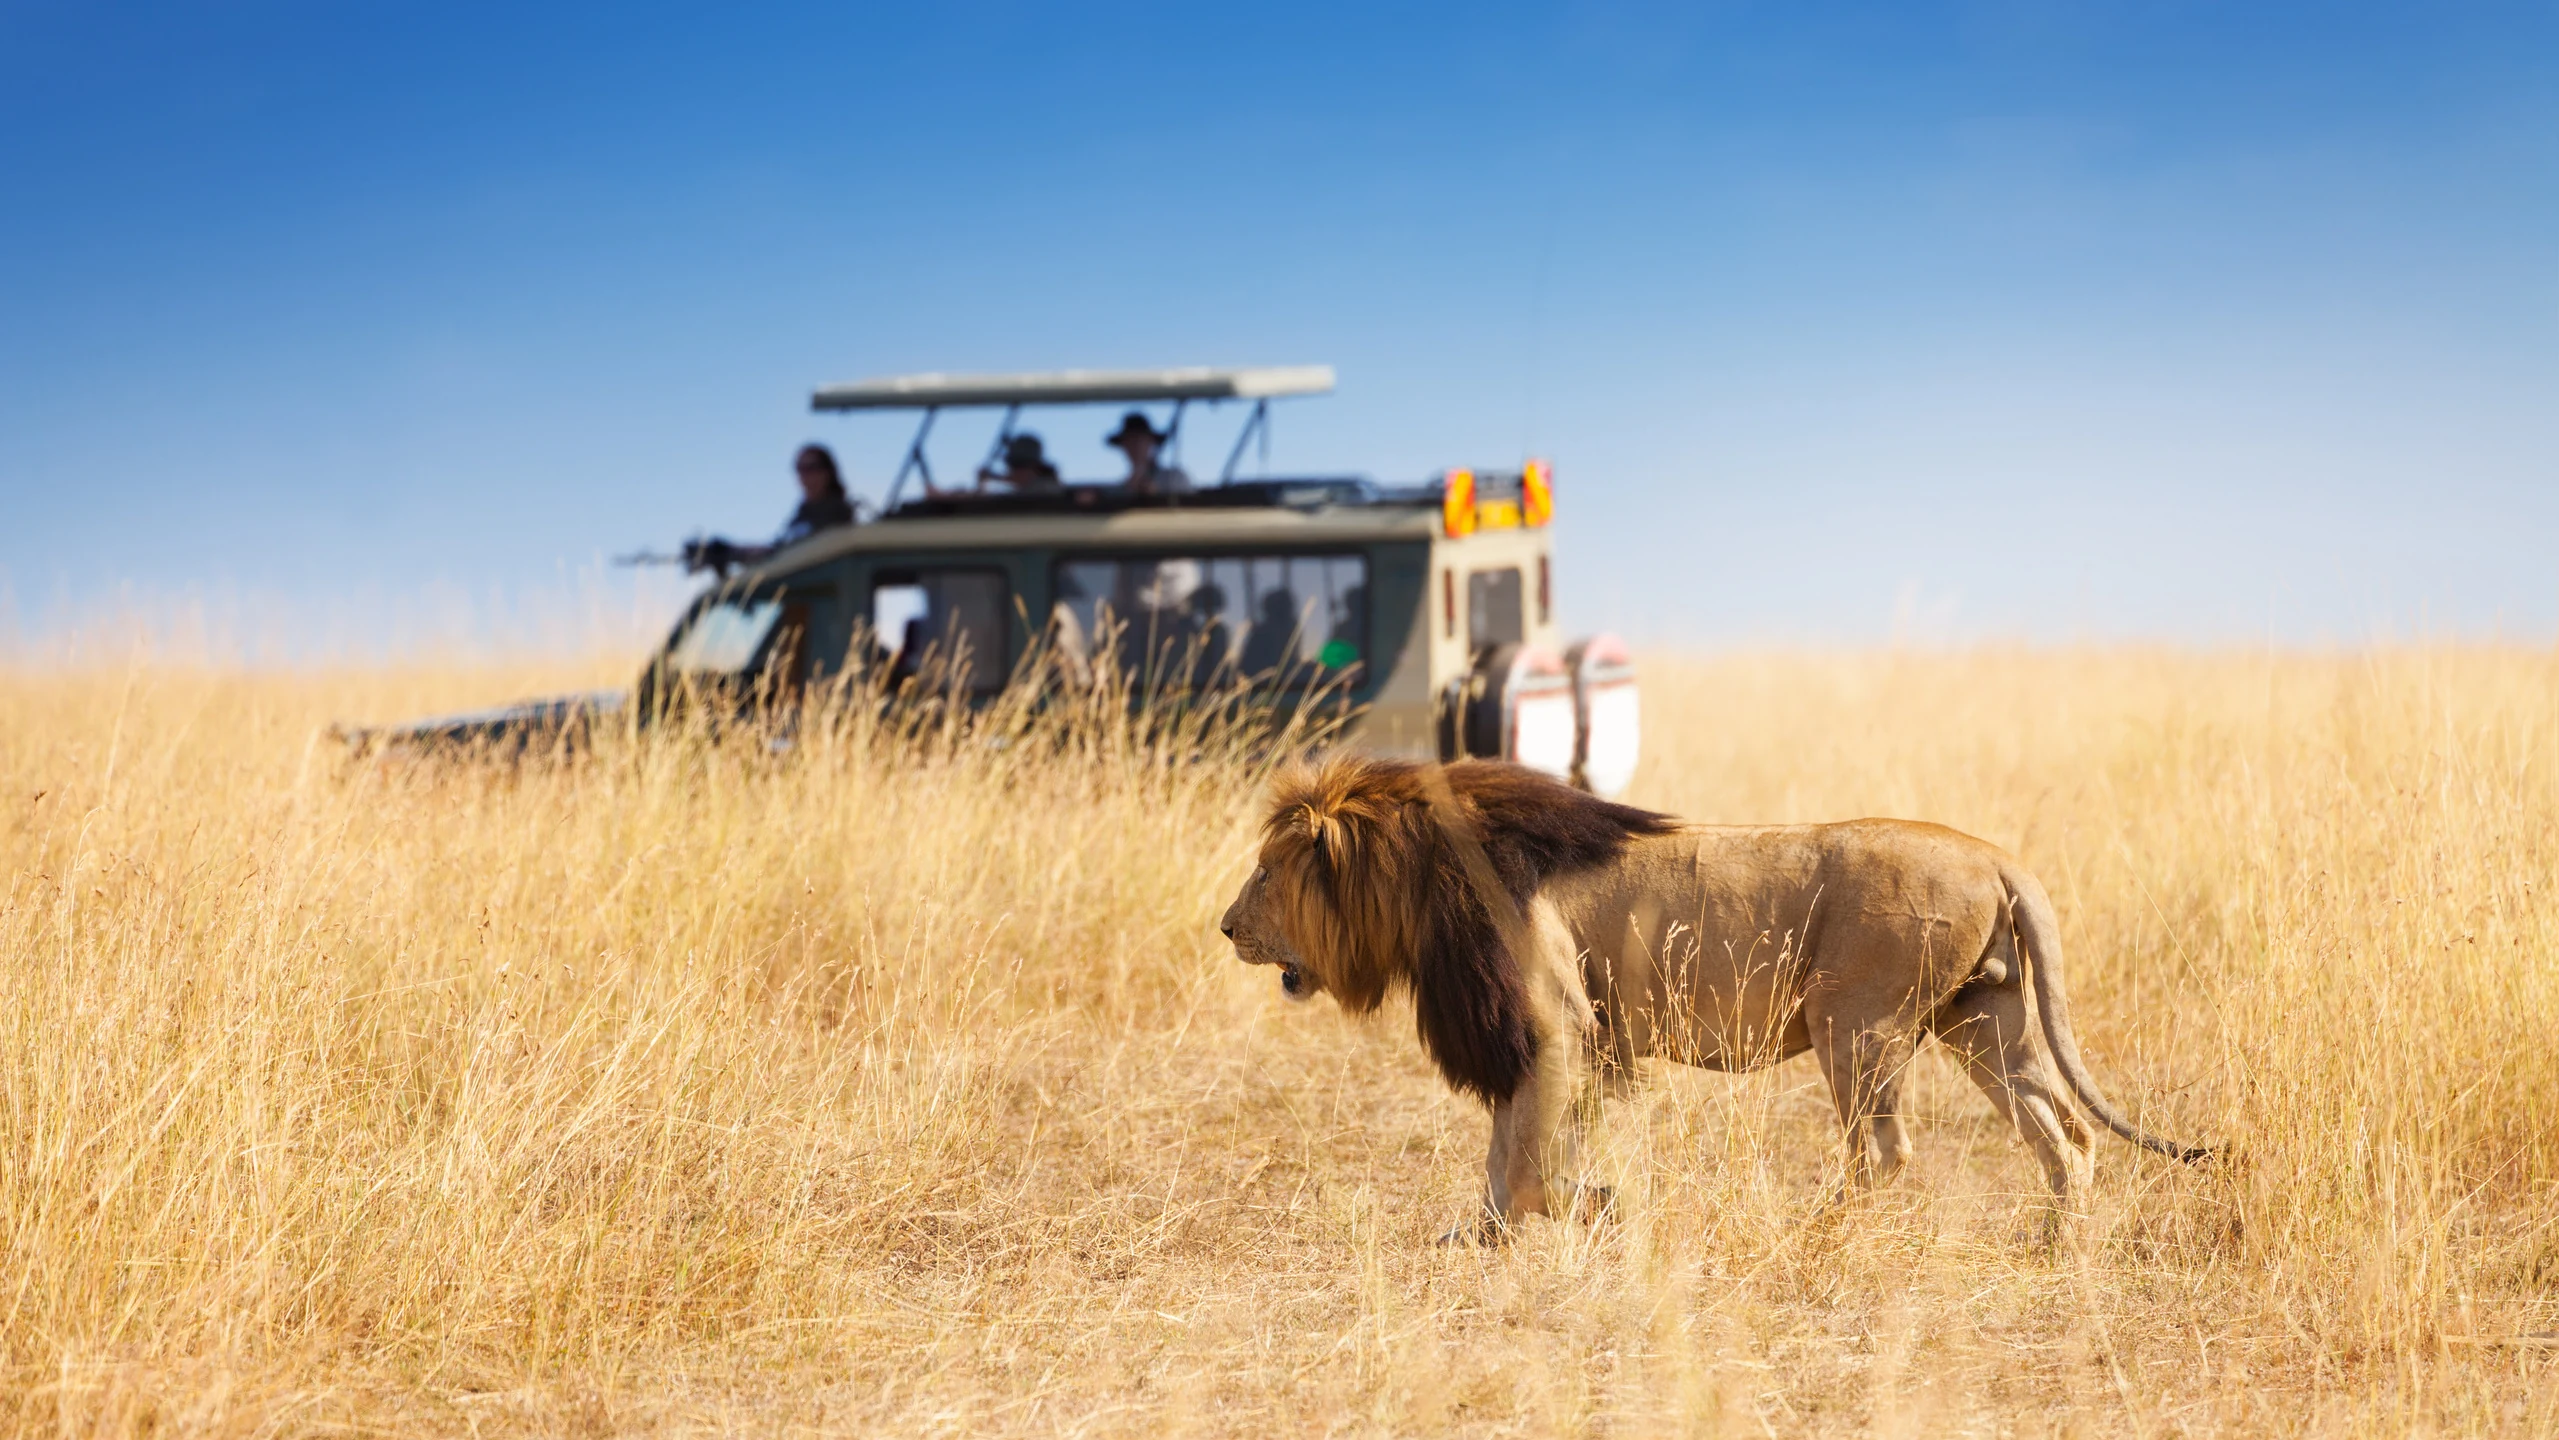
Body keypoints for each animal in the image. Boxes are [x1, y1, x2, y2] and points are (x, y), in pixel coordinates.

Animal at [1219, 755, 2209, 1241]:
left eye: (1265, 871)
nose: (1226, 927)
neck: (1422, 877)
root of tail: (1995, 855)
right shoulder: (1544, 1039)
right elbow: (1506, 1157)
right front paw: (1486, 1237)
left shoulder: (1554, 1024)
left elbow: (1529, 1164)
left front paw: (1598, 1208)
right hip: (1982, 1020)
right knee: (2065, 1133)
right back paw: (2058, 1243)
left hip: (1856, 1022)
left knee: (1885, 1151)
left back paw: (1819, 1231)